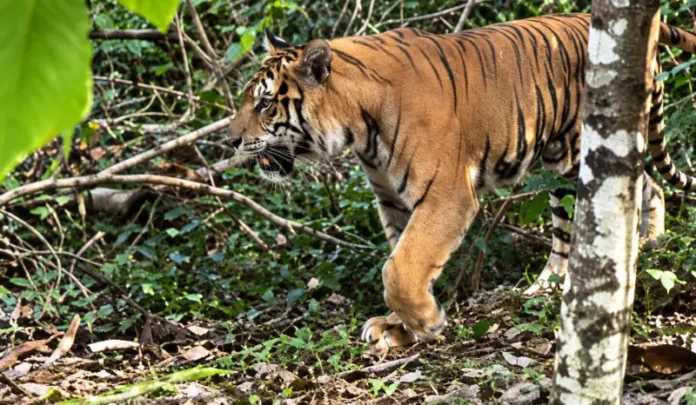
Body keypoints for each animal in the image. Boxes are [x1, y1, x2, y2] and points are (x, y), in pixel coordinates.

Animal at [227, 13, 696, 347]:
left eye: (265, 104)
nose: (230, 140)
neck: (359, 126)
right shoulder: (392, 200)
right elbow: (401, 258)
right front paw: (398, 327)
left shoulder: (446, 197)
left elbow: (399, 269)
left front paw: (426, 322)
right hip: (568, 163)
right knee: (630, 194)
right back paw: (609, 259)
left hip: (583, 152)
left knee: (619, 198)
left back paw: (627, 255)